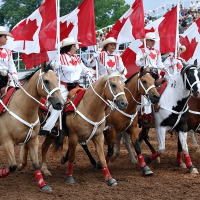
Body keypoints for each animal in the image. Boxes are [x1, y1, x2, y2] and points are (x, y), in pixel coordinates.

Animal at [0, 63, 64, 193]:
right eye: (46, 81)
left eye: (57, 80)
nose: (60, 103)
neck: (21, 109)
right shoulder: (6, 142)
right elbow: (12, 166)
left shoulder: (33, 139)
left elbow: (35, 163)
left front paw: (42, 184)